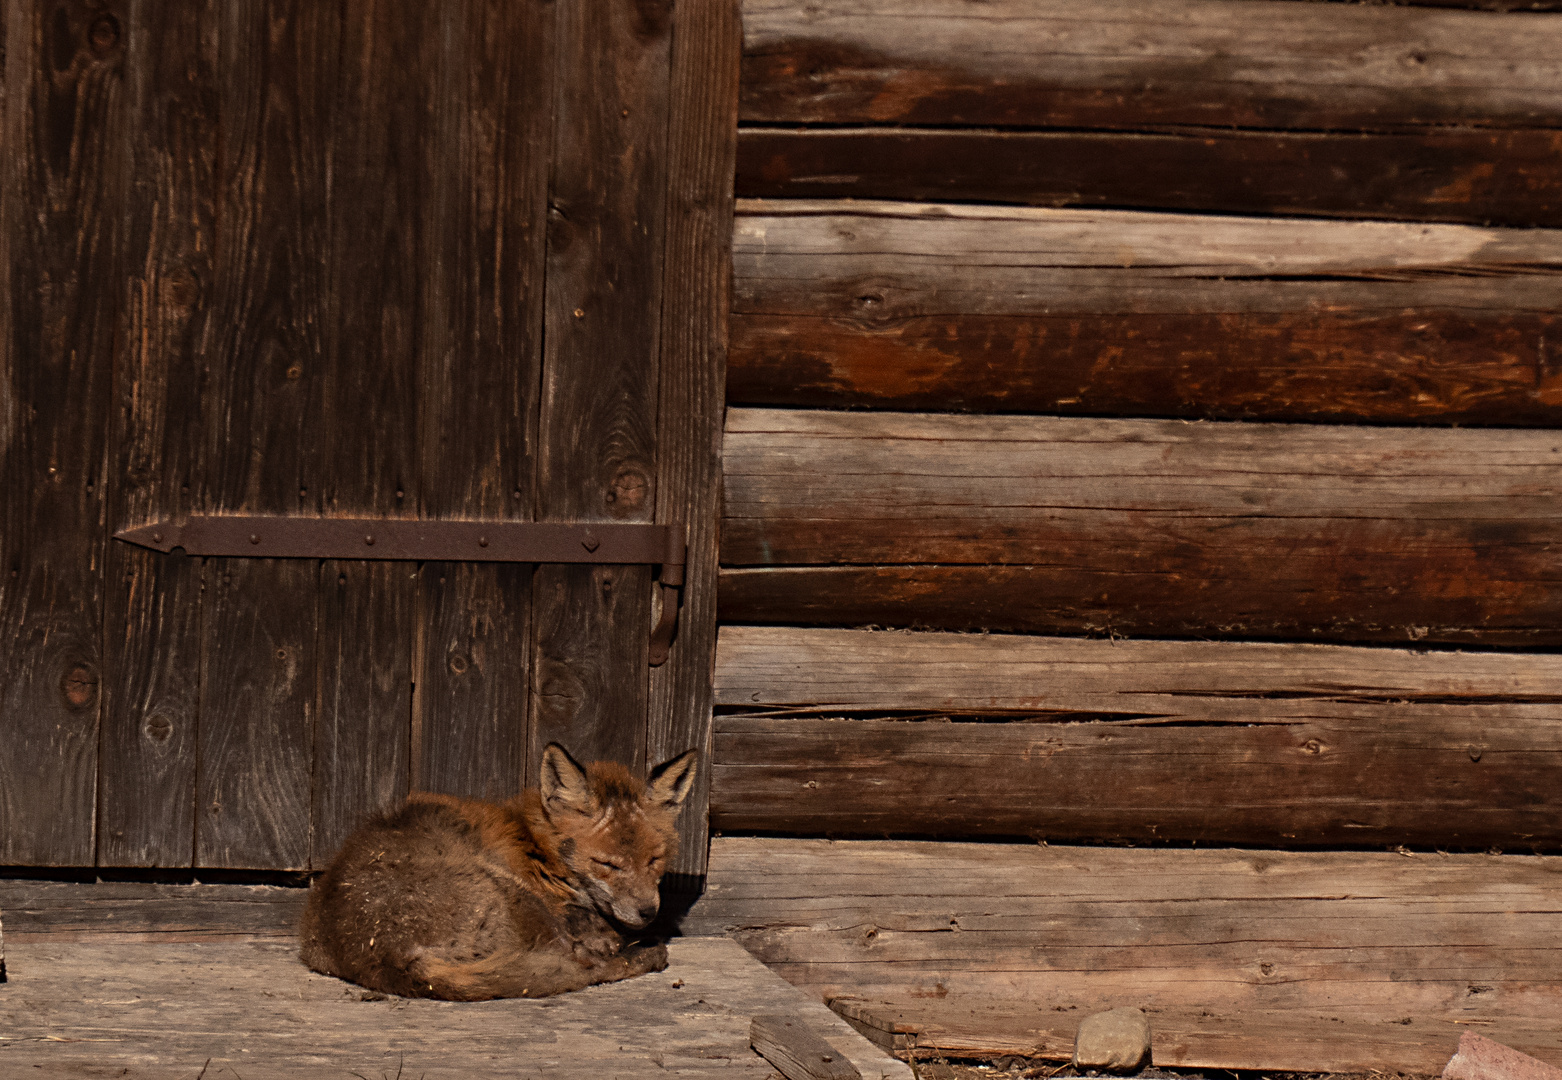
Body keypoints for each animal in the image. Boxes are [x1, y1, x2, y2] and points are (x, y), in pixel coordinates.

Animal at [296, 743, 696, 1006]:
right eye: (607, 864)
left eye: (655, 859)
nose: (648, 912)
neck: (536, 844)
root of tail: (388, 955)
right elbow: (595, 940)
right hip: (513, 892)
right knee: (584, 966)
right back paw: (641, 954)